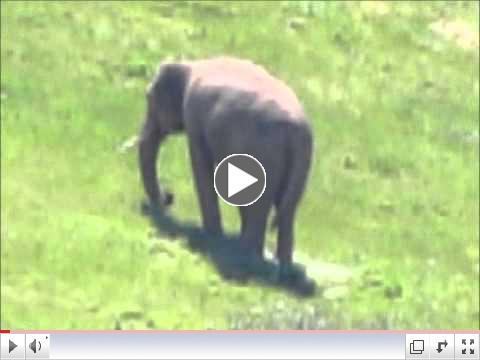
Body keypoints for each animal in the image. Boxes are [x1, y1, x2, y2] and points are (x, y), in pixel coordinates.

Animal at [138, 57, 312, 284]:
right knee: (286, 209)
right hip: (299, 163)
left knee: (260, 205)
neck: (190, 64)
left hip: (263, 151)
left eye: (148, 97)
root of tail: (297, 130)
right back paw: (282, 273)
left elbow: (200, 165)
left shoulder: (194, 116)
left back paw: (244, 259)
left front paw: (212, 236)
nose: (168, 196)